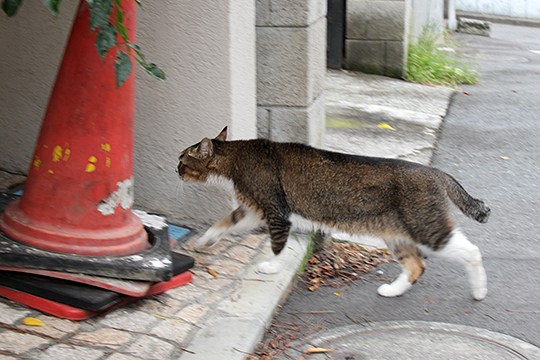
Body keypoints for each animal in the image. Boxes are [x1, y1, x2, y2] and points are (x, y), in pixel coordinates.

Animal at [177, 128, 490, 300]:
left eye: (182, 161)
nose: (174, 169)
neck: (236, 156)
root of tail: (437, 172)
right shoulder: (252, 211)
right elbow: (223, 223)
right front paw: (204, 241)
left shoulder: (276, 212)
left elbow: (277, 246)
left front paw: (271, 267)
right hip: (396, 234)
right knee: (416, 266)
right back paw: (392, 290)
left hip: (427, 227)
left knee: (471, 251)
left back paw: (479, 291)